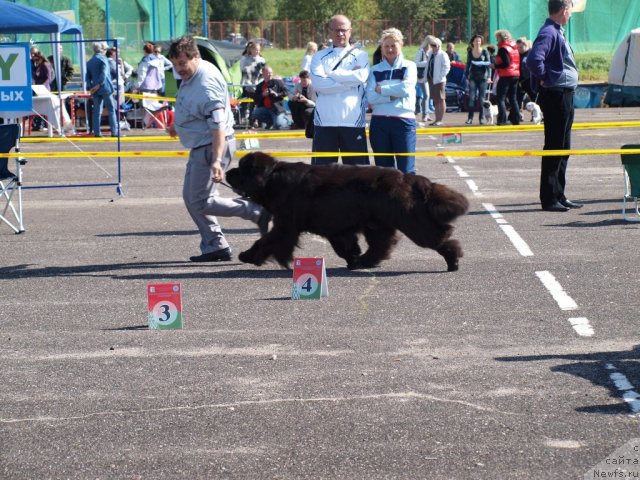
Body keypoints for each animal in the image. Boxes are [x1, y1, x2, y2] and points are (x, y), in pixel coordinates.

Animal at [226, 152, 470, 272]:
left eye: (241, 170)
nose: (227, 172)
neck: (271, 179)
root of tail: (409, 178)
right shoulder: (336, 229)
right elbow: (345, 247)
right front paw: (352, 259)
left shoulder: (286, 225)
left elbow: (267, 241)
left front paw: (248, 255)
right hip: (377, 224)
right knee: (380, 245)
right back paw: (364, 262)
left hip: (410, 221)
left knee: (438, 236)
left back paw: (453, 261)